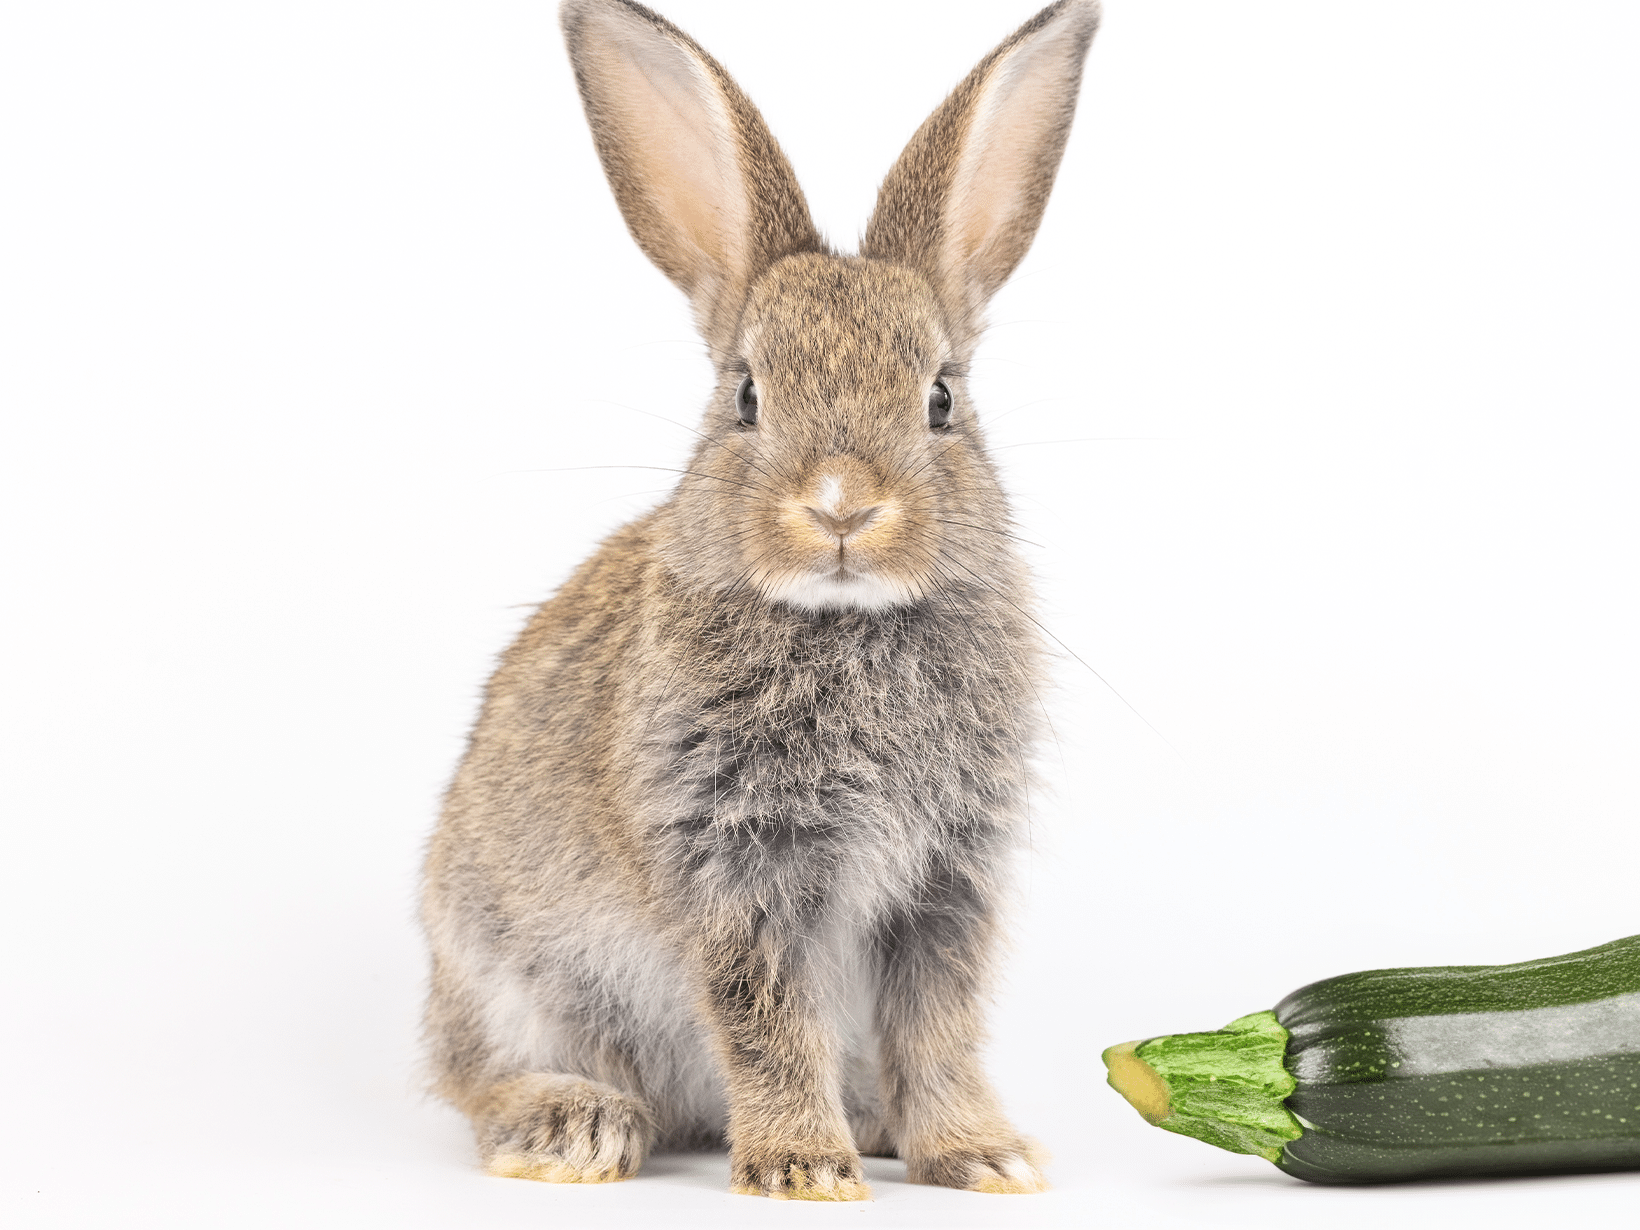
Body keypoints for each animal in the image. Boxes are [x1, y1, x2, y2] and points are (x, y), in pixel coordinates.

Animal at [419, 0, 1102, 1200]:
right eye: (745, 395)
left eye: (940, 399)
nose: (842, 506)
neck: (846, 621)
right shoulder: (736, 865)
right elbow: (767, 1019)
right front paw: (802, 1169)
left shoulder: (944, 881)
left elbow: (938, 1021)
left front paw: (979, 1156)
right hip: (501, 968)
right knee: (477, 1079)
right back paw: (572, 1127)